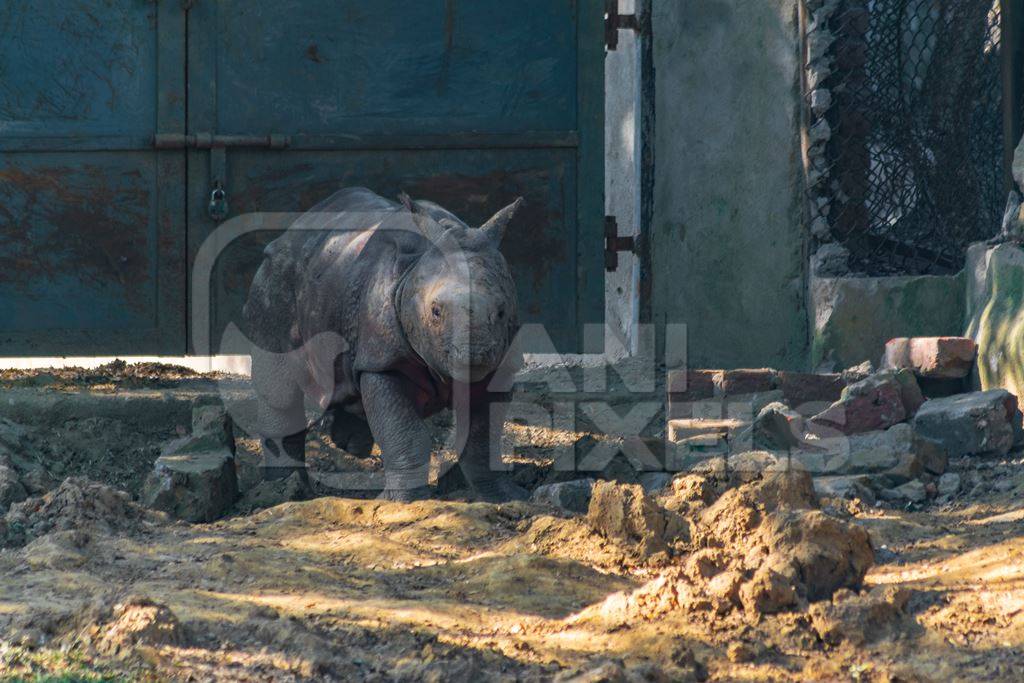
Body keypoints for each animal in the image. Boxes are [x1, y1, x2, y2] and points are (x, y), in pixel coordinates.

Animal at [240, 187, 528, 501]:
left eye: (501, 311)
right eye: (435, 311)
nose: (473, 356)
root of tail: (293, 230)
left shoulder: (500, 364)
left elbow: (481, 438)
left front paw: (503, 496)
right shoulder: (383, 360)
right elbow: (406, 433)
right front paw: (407, 502)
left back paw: (346, 444)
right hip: (275, 280)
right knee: (279, 388)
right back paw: (284, 491)